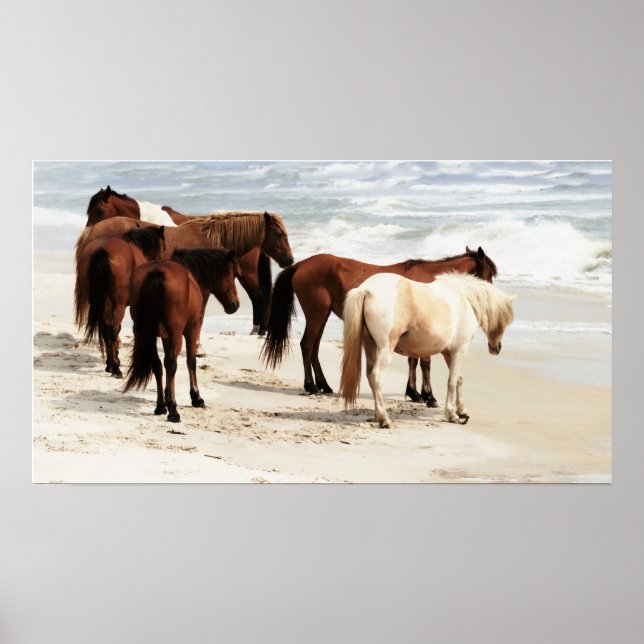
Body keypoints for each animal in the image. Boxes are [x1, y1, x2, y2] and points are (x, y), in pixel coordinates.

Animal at [74, 226, 166, 377]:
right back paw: (116, 367)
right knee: (113, 329)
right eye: (163, 247)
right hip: (119, 304)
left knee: (105, 329)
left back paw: (110, 364)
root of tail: (102, 251)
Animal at [123, 248, 240, 423]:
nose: (235, 304)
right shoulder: (192, 330)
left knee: (157, 364)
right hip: (176, 334)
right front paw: (196, 397)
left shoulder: (164, 337)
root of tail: (157, 273)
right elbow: (191, 361)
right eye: (232, 275)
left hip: (148, 334)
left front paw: (167, 395)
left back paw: (161, 406)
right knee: (171, 363)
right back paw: (173, 410)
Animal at [261, 247, 497, 403]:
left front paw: (414, 393)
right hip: (317, 313)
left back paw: (324, 385)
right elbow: (424, 362)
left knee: (314, 348)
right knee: (307, 345)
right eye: (489, 276)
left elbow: (414, 361)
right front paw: (428, 396)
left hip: (322, 315)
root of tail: (301, 265)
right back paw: (311, 386)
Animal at [339, 272, 515, 428]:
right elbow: (452, 381)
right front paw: (452, 415)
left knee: (370, 375)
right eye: (505, 320)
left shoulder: (449, 353)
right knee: (376, 376)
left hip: (370, 346)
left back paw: (377, 416)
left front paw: (462, 410)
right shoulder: (460, 350)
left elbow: (458, 379)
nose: (497, 348)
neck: (465, 300)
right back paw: (384, 419)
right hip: (385, 348)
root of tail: (366, 289)